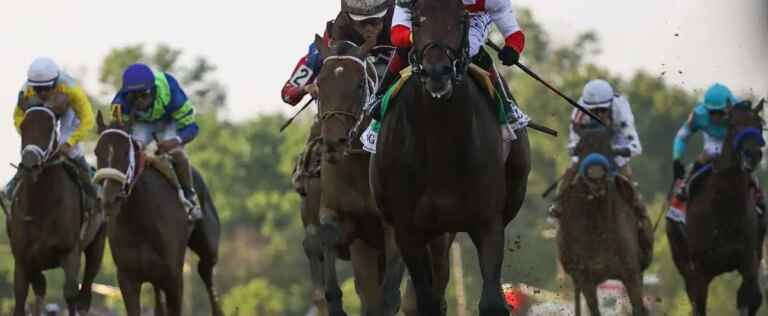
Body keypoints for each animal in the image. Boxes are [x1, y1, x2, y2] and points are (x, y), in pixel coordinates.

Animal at [8, 107, 106, 316]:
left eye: (50, 128)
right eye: (23, 126)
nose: (30, 164)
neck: (40, 206)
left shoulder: (70, 252)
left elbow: (70, 293)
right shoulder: (22, 258)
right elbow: (23, 296)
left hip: (98, 243)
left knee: (85, 291)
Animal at [93, 113, 224, 316]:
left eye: (126, 152)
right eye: (97, 152)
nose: (109, 200)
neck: (140, 221)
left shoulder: (174, 277)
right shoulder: (127, 277)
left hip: (207, 248)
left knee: (206, 272)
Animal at [368, 0, 532, 314]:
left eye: (460, 20)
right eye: (418, 21)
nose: (437, 73)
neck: (439, 144)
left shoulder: (488, 222)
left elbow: (492, 301)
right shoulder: (408, 230)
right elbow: (425, 300)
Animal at [560, 126, 648, 316]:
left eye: (608, 147)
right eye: (580, 149)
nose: (595, 174)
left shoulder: (631, 272)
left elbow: (639, 307)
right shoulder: (585, 277)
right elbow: (593, 308)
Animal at [664, 100, 768, 316]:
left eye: (759, 126)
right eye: (733, 125)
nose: (753, 155)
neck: (723, 209)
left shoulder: (749, 261)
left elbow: (749, 299)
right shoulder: (699, 270)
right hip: (683, 262)